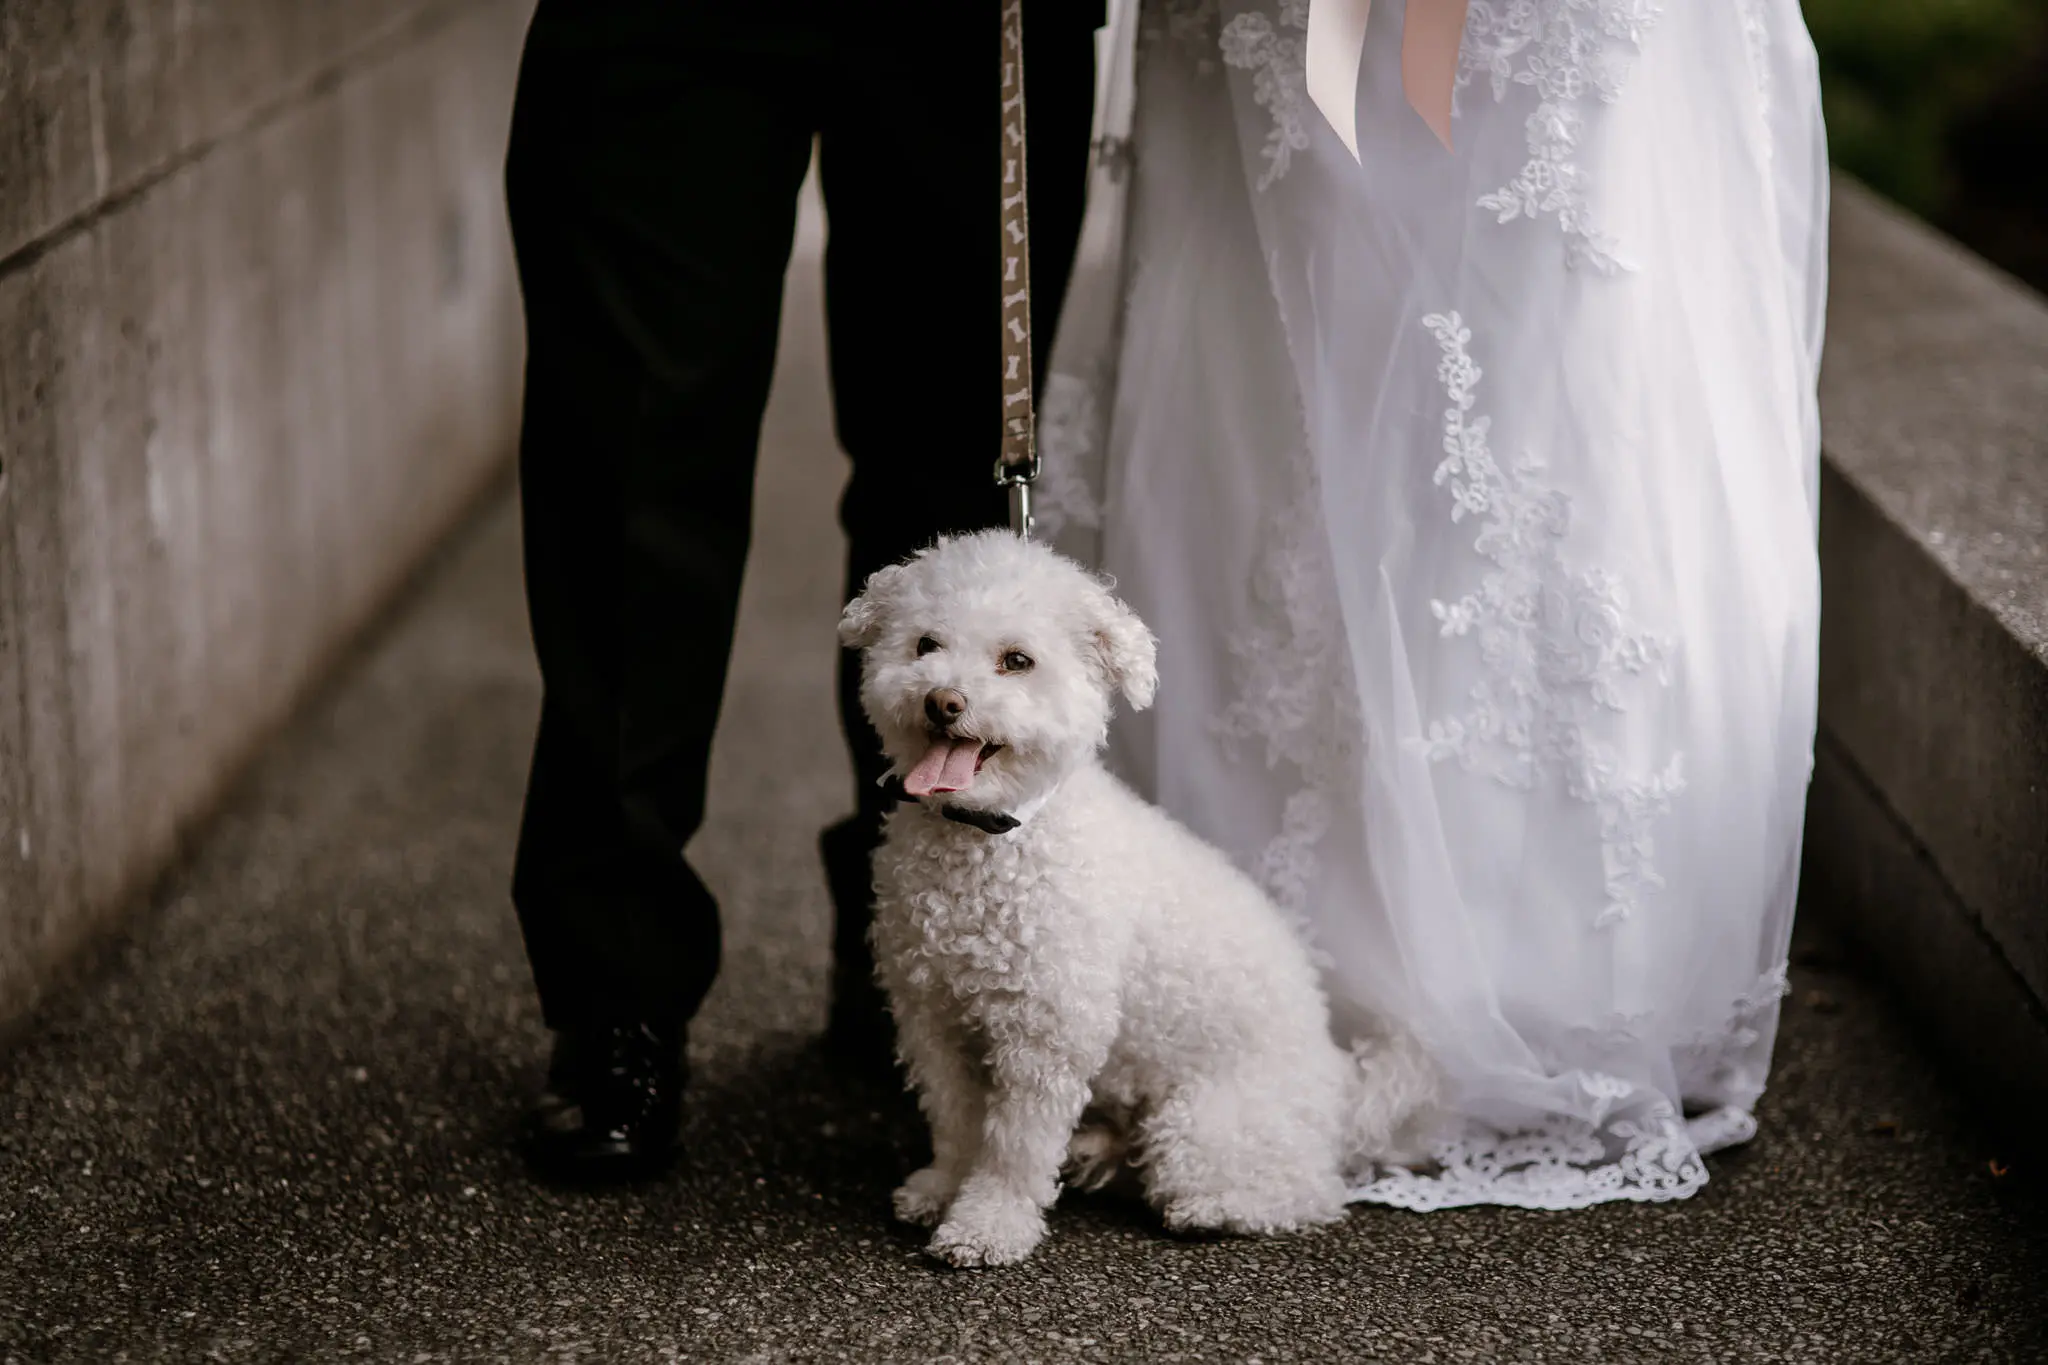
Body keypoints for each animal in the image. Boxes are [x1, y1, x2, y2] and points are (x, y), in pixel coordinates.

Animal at [839, 532, 1433, 1268]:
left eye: (1017, 660)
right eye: (925, 644)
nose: (943, 700)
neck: (993, 838)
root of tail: (1341, 1088)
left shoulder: (1046, 1034)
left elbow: (1012, 1147)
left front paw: (987, 1224)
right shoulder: (929, 1017)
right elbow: (955, 1117)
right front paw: (943, 1186)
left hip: (1204, 1125)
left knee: (1302, 1192)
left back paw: (1211, 1205)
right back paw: (1098, 1148)